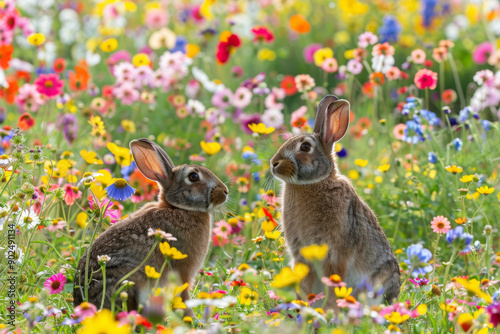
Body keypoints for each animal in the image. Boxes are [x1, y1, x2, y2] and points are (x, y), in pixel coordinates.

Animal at [73, 137, 229, 314]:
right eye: (194, 176)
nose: (225, 192)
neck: (180, 208)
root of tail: (84, 305)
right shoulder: (182, 271)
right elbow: (184, 297)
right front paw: (192, 318)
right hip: (134, 279)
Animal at [272, 95, 400, 310]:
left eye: (305, 147)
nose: (273, 163)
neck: (315, 183)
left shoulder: (335, 253)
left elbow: (333, 281)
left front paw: (329, 309)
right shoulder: (301, 255)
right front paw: (303, 306)